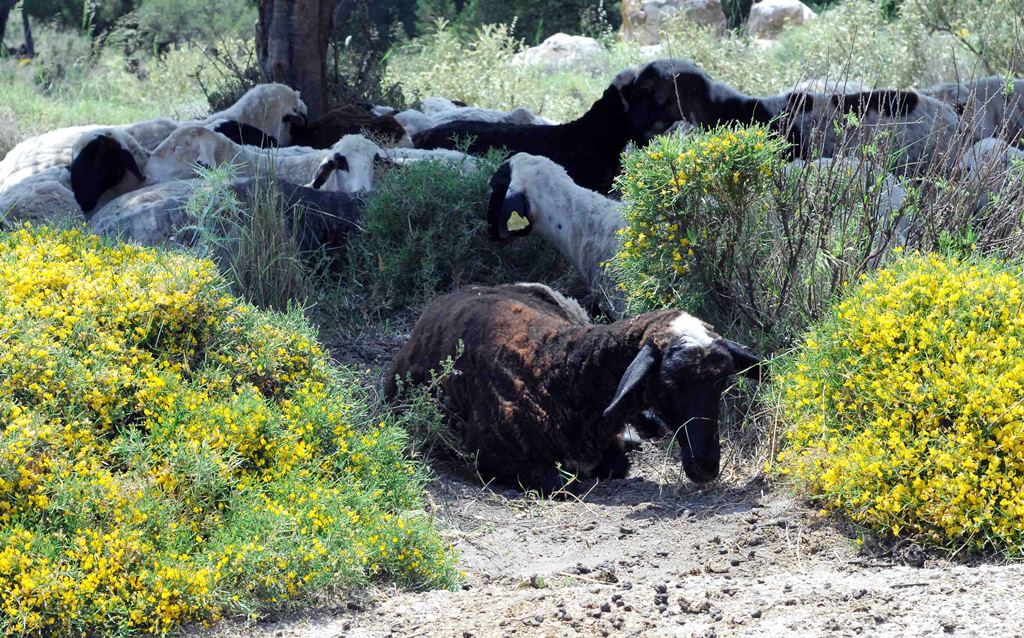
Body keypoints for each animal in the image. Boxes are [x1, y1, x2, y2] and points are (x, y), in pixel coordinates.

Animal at [385, 282, 761, 493]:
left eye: (722, 383)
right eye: (669, 384)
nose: (707, 466)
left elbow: (616, 465)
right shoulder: (489, 456)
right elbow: (566, 482)